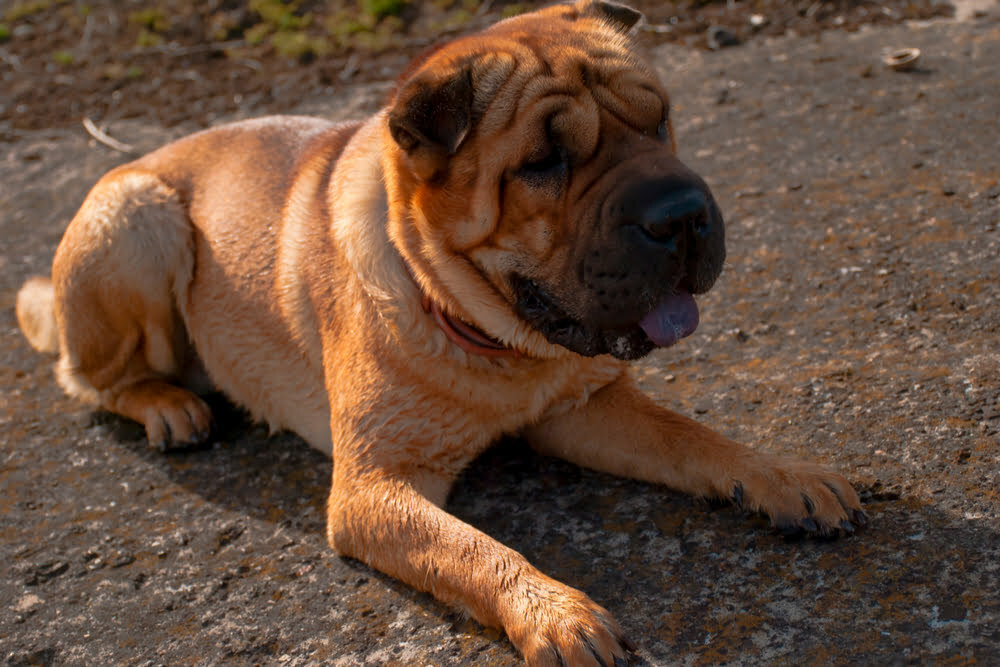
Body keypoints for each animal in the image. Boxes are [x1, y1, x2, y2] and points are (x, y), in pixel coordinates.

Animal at [17, 2, 868, 664]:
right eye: (544, 162)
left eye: (659, 118)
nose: (681, 213)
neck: (486, 335)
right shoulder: (373, 488)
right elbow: (471, 549)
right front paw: (556, 611)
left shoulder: (582, 408)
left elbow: (693, 437)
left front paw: (783, 475)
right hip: (137, 216)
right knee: (84, 376)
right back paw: (166, 404)